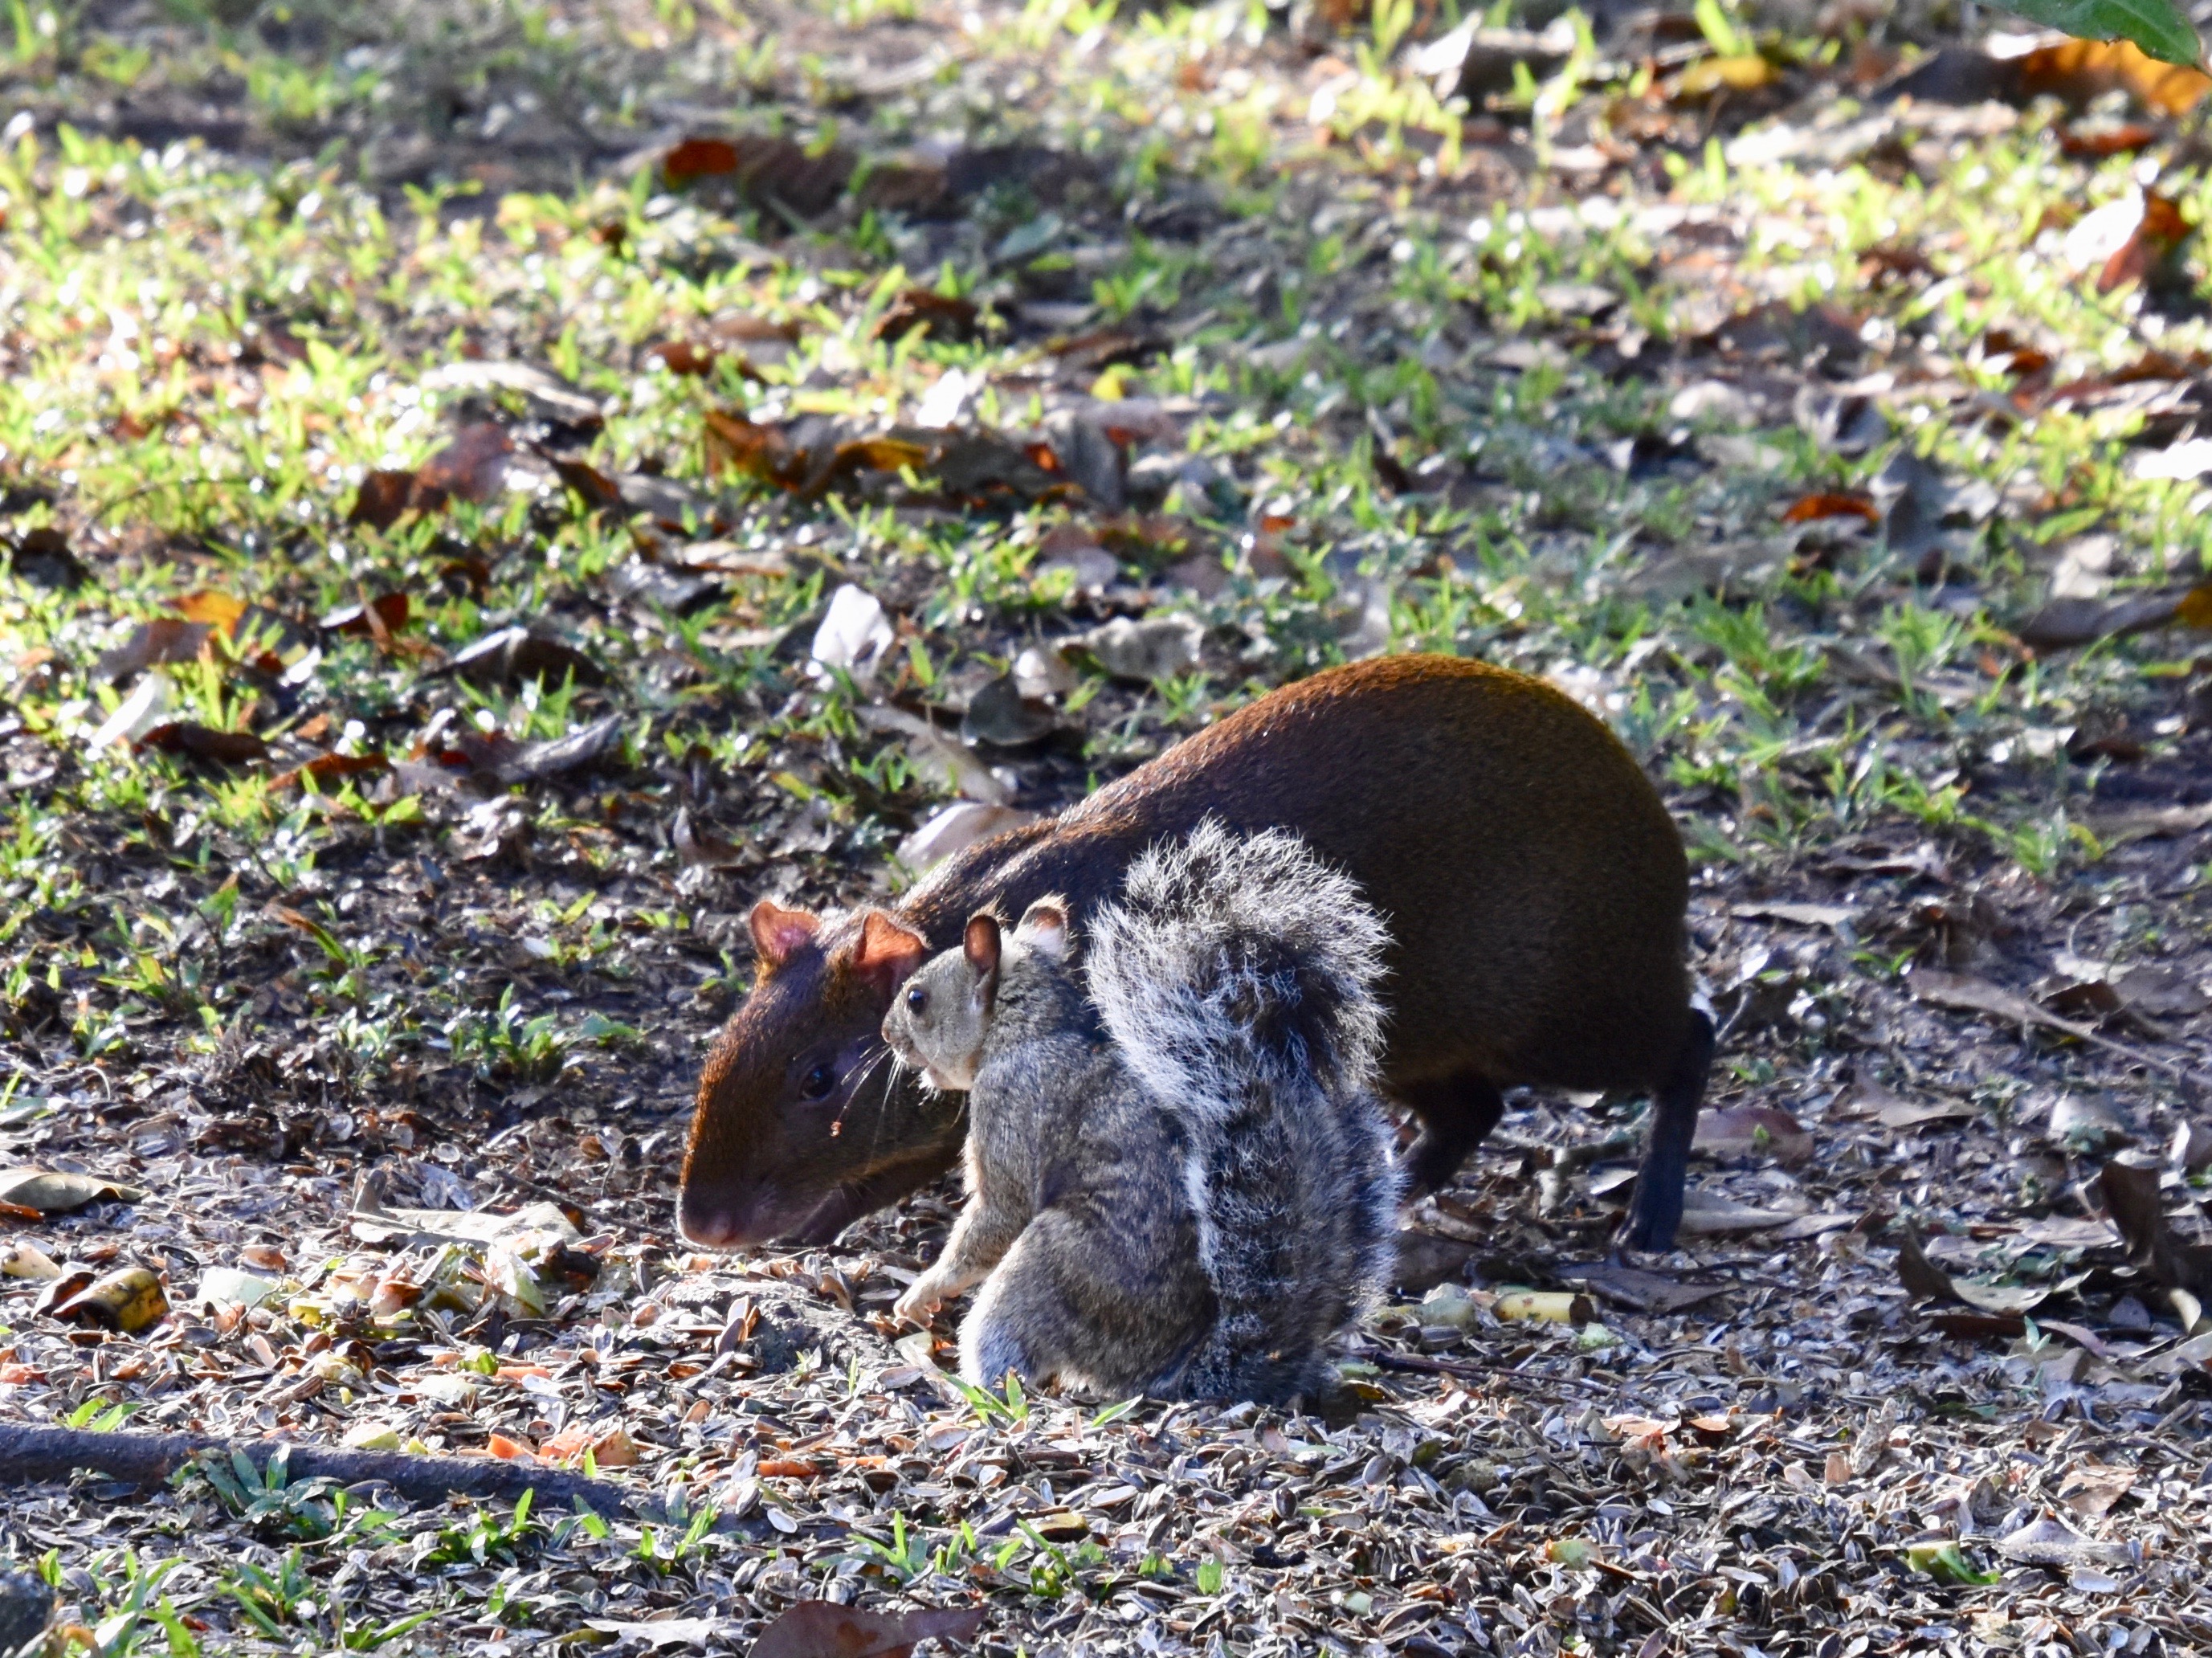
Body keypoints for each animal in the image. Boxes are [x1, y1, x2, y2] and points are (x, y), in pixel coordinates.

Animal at [867, 823, 1398, 1407]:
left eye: (917, 998)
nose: (886, 1034)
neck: (1030, 1030)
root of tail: (1169, 1373)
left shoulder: (1013, 1109)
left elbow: (996, 1217)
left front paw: (924, 1290)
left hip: (1055, 1263)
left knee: (1010, 1345)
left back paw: (964, 1387)